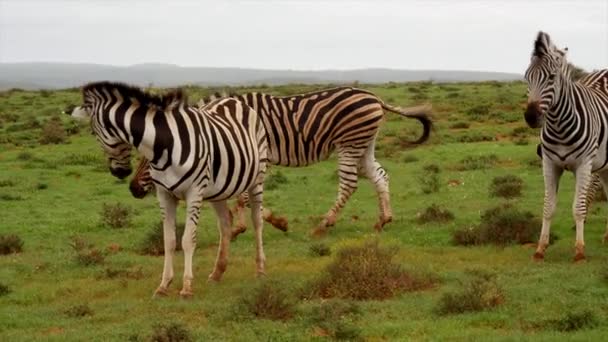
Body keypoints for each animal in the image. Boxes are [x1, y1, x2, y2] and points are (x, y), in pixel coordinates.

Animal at [65, 81, 268, 298]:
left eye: (93, 133)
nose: (121, 174)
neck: (165, 145)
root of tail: (232, 100)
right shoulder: (164, 195)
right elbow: (169, 240)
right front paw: (163, 285)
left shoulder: (194, 192)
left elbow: (187, 240)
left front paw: (186, 287)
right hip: (218, 190)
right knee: (225, 224)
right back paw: (217, 273)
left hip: (257, 179)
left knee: (257, 221)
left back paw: (260, 269)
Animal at [127, 86, 432, 235]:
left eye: (150, 156)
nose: (132, 189)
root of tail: (375, 98)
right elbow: (246, 197)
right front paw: (265, 222)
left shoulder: (255, 156)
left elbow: (246, 197)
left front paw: (246, 227)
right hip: (364, 144)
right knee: (380, 175)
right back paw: (384, 219)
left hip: (349, 142)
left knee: (349, 184)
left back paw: (324, 224)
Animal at [524, 32, 608, 262]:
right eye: (526, 78)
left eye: (551, 78)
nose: (530, 117)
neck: (559, 126)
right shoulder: (550, 163)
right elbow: (548, 206)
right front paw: (540, 248)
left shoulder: (584, 164)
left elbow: (578, 207)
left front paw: (579, 250)